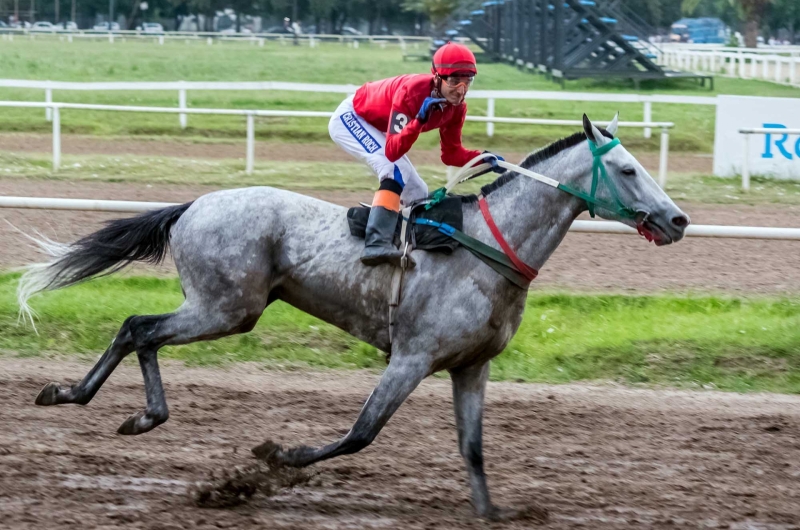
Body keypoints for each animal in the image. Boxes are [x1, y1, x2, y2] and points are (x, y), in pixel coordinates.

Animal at [21, 113, 692, 516]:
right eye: (628, 169)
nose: (679, 219)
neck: (488, 248)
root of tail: (192, 205)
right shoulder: (412, 357)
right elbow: (360, 433)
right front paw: (278, 456)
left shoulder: (471, 366)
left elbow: (473, 447)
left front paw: (490, 511)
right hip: (226, 306)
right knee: (140, 328)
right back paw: (102, 403)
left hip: (225, 307)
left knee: (140, 332)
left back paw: (108, 405)